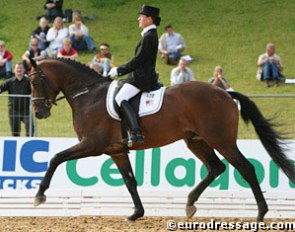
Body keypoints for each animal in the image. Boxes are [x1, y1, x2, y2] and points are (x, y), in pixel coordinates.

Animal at [30, 58, 295, 221]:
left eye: (34, 81)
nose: (39, 113)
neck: (89, 95)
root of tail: (225, 92)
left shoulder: (92, 144)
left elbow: (56, 158)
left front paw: (39, 196)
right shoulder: (116, 151)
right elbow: (130, 181)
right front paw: (136, 213)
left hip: (221, 139)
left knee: (245, 168)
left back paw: (261, 214)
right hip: (196, 140)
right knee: (216, 167)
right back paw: (189, 204)